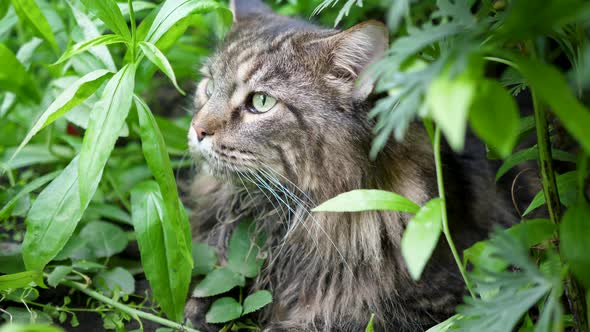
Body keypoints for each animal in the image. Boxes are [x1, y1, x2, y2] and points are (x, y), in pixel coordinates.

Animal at [185, 0, 520, 330]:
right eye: (209, 86)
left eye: (261, 102)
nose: (197, 129)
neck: (281, 217)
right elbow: (202, 297)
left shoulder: (441, 297)